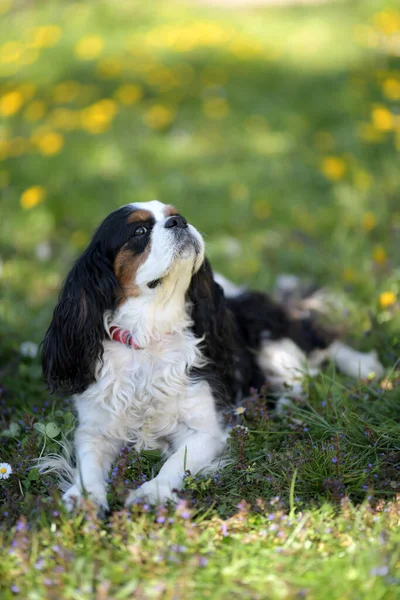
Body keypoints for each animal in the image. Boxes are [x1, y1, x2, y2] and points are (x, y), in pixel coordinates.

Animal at [39, 199, 384, 508]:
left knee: (312, 353)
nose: (179, 222)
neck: (150, 336)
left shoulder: (204, 432)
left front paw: (152, 493)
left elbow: (175, 463)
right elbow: (89, 466)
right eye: (139, 231)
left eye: (175, 214)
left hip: (271, 341)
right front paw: (84, 499)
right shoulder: (93, 431)